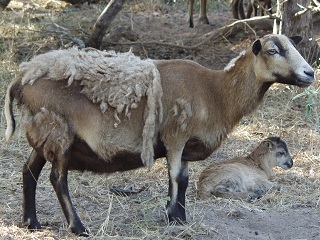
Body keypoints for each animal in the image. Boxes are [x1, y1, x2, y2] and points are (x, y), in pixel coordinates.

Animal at [4, 34, 316, 236]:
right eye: (273, 51)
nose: (310, 73)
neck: (216, 92)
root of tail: (22, 76)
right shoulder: (175, 136)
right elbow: (176, 178)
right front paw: (174, 217)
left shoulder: (186, 144)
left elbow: (183, 180)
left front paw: (179, 218)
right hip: (58, 131)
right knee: (58, 179)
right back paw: (78, 227)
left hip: (43, 133)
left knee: (28, 171)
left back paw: (31, 222)